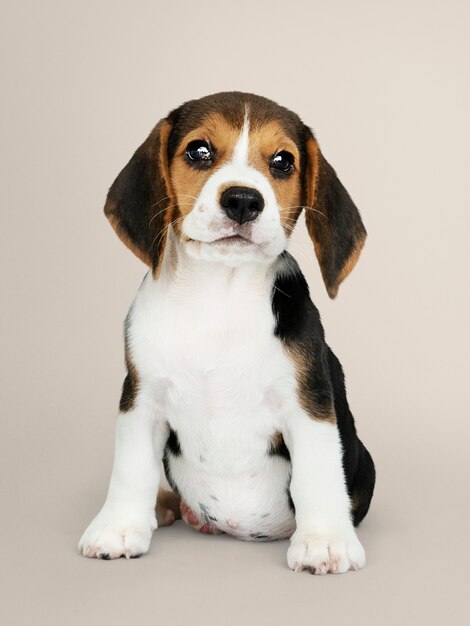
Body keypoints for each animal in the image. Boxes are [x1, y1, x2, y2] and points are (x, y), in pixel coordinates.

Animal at [79, 90, 376, 572]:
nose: (242, 200)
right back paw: (168, 506)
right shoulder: (140, 399)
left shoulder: (308, 403)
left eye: (283, 161)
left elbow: (317, 473)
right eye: (199, 151)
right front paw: (118, 528)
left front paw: (325, 541)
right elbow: (130, 469)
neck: (219, 293)